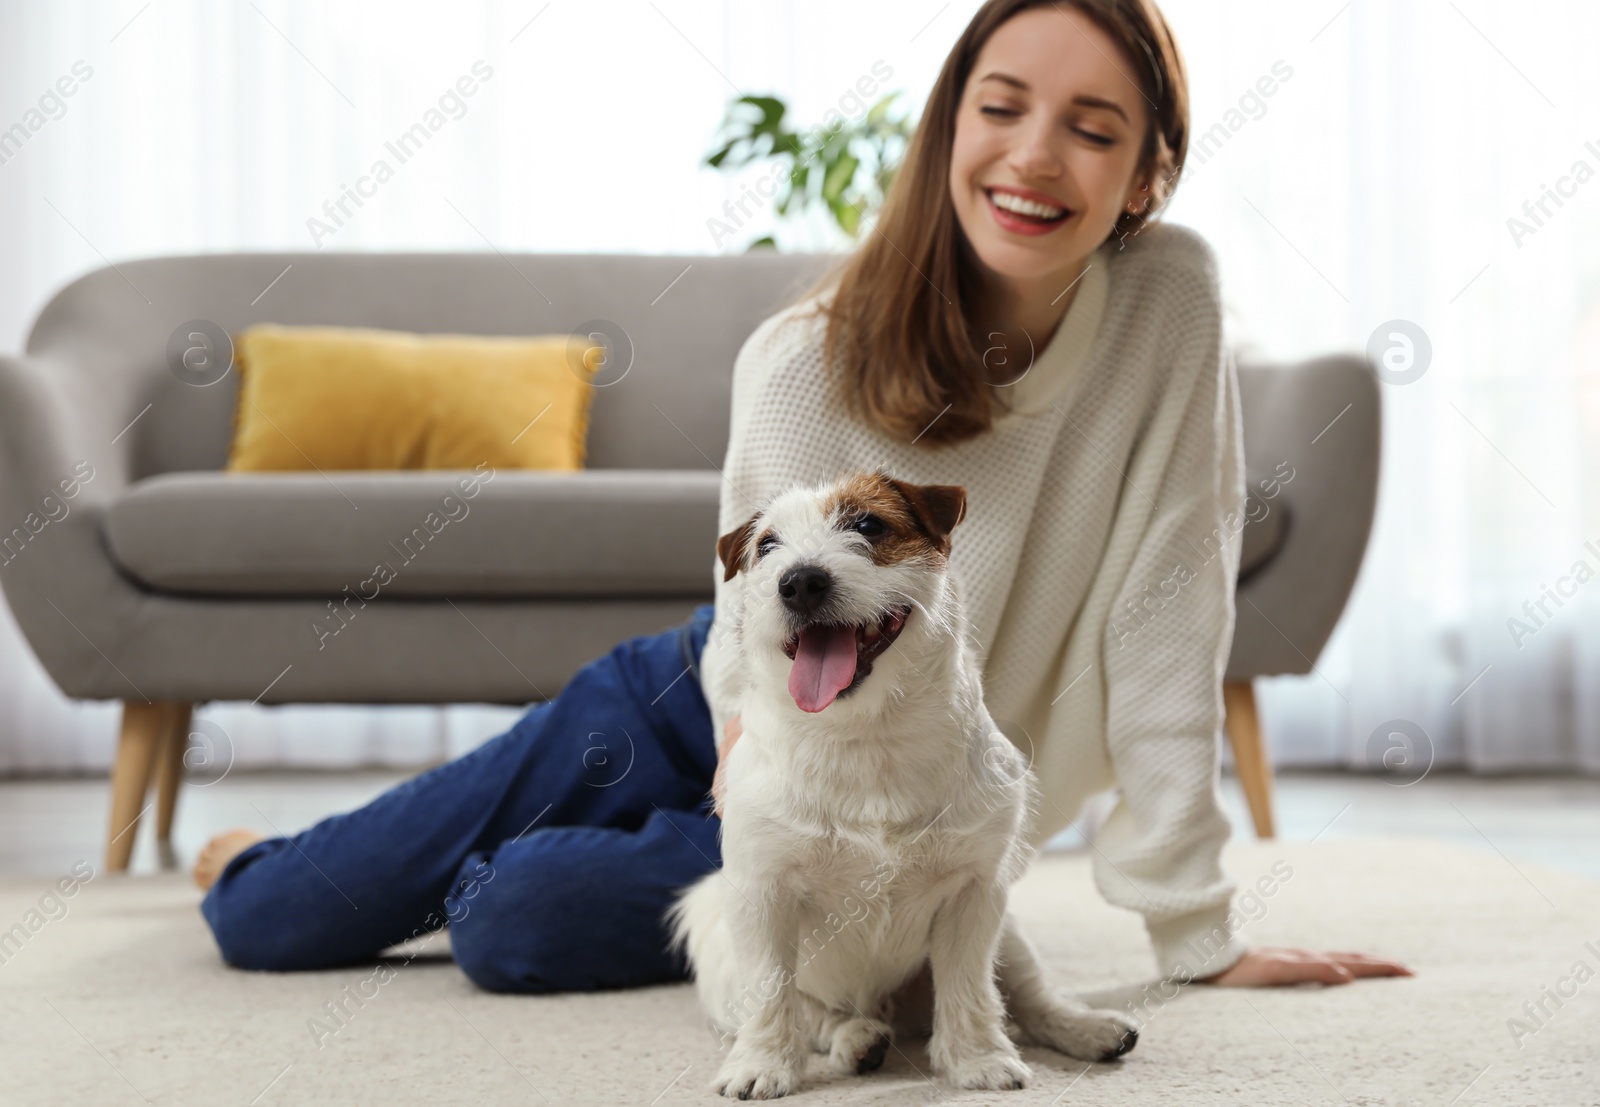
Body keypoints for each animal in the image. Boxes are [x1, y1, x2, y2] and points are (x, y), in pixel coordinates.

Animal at [668, 467, 1145, 1100]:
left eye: (869, 525)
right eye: (767, 546)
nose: (799, 582)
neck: (869, 739)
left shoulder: (974, 893)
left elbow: (970, 988)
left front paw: (977, 1059)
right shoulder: (763, 896)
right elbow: (773, 996)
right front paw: (761, 1065)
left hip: (1010, 934)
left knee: (1027, 997)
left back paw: (1088, 1029)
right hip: (722, 954)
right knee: (814, 1014)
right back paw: (857, 1039)